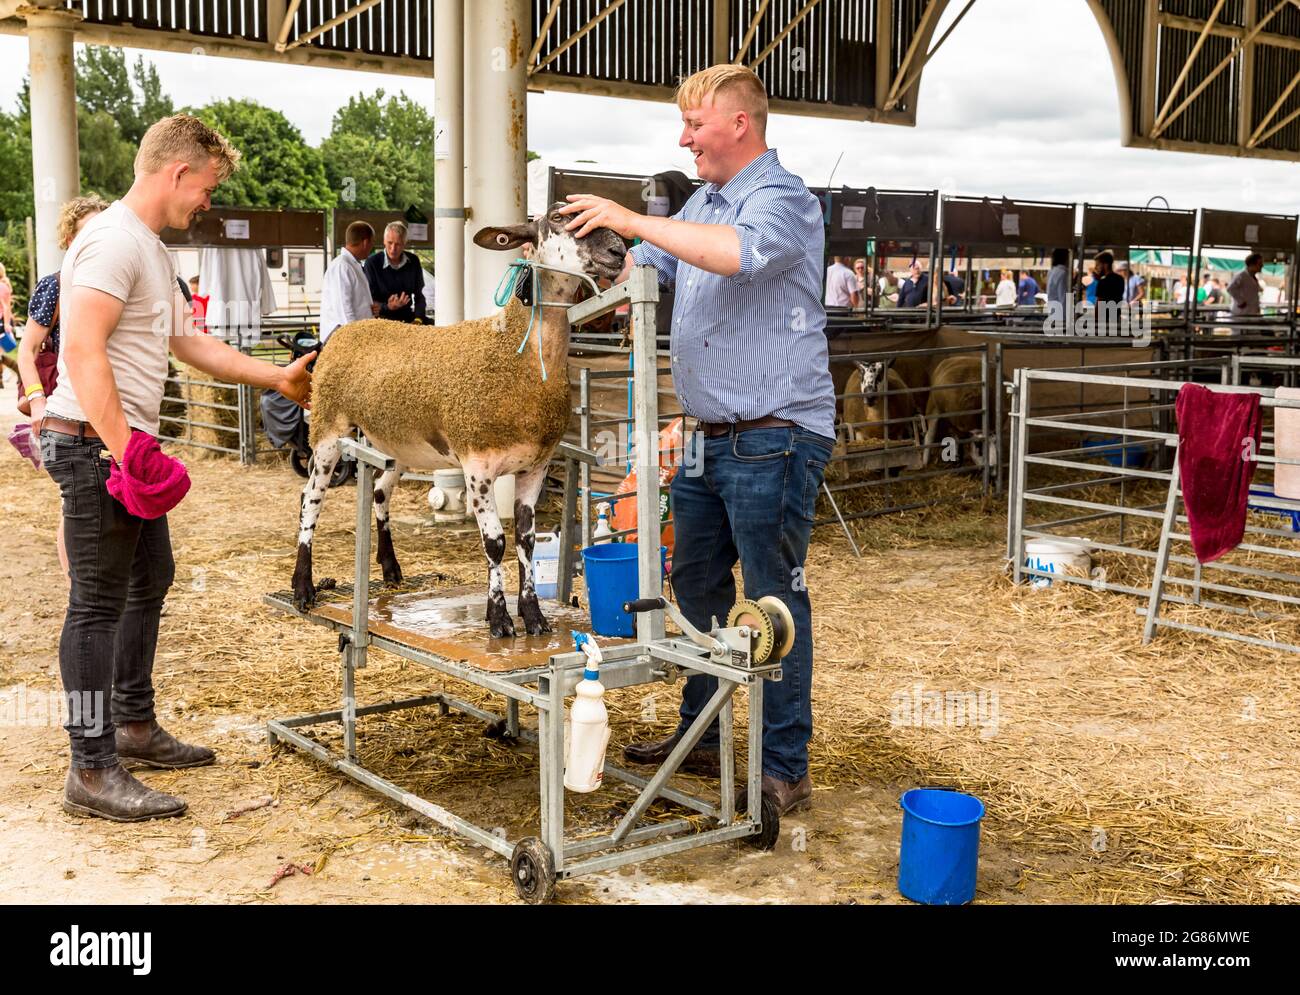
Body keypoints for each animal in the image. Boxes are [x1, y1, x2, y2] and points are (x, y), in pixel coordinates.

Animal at [292, 204, 626, 637]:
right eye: (557, 218)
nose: (618, 250)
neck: (516, 354)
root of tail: (348, 330)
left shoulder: (535, 466)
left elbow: (526, 540)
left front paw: (533, 616)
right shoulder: (477, 466)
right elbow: (496, 543)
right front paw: (499, 618)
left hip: (396, 443)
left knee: (380, 491)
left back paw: (391, 569)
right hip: (328, 428)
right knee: (310, 499)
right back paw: (303, 587)